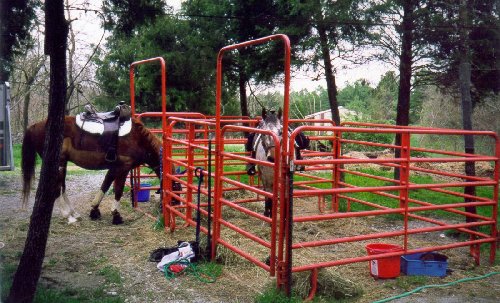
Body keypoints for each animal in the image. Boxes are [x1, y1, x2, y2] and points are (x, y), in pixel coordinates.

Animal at [22, 116, 162, 226]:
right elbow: (118, 191)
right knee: (57, 188)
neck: (137, 139)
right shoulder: (123, 168)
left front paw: (94, 210)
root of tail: (34, 126)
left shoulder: (113, 168)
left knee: (62, 187)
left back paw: (74, 213)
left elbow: (105, 185)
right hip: (59, 164)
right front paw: (116, 215)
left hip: (63, 165)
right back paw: (68, 216)